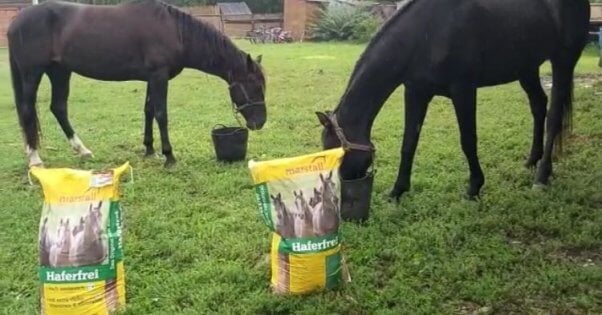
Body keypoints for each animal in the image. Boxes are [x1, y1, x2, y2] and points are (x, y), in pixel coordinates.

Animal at [7, 0, 264, 168]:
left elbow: (148, 110)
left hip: (59, 72)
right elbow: (161, 114)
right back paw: (34, 158)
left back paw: (82, 150)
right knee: (28, 110)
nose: (259, 122)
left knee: (58, 107)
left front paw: (149, 150)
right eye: (254, 85)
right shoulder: (159, 76)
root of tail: (16, 21)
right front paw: (169, 156)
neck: (173, 30)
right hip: (32, 73)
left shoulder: (152, 78)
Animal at [316, 0, 588, 201]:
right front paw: (397, 191)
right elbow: (409, 143)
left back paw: (542, 176)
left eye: (338, 152)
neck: (427, 32)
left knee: (553, 117)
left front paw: (474, 187)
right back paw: (532, 160)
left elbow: (468, 140)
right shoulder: (415, 91)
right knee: (538, 106)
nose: (342, 193)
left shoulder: (463, 90)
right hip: (526, 67)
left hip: (563, 60)